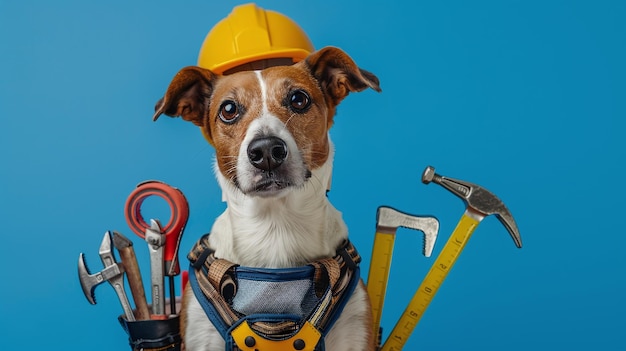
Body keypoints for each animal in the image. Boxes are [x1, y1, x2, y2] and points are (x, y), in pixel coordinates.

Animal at [152, 46, 380, 350]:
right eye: (228, 109)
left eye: (298, 99)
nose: (267, 150)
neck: (275, 228)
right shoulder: (202, 336)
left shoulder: (353, 330)